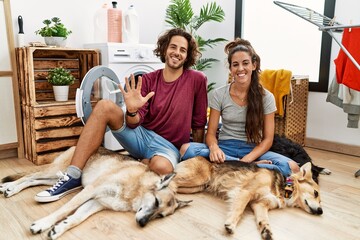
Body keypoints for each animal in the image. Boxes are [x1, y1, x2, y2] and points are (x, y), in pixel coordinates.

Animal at [0, 146, 191, 240]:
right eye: (157, 202)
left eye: (160, 216)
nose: (142, 223)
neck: (135, 189)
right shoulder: (90, 191)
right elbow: (64, 210)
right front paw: (43, 223)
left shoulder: (96, 203)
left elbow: (75, 218)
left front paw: (59, 228)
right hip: (56, 170)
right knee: (30, 175)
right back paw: (9, 186)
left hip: (55, 177)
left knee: (34, 180)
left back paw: (10, 188)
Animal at [173, 157, 322, 239]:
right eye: (315, 193)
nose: (321, 211)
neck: (284, 187)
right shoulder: (246, 192)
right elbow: (239, 210)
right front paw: (230, 225)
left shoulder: (260, 205)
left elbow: (264, 220)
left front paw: (267, 231)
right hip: (199, 178)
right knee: (170, 179)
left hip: (196, 187)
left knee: (174, 186)